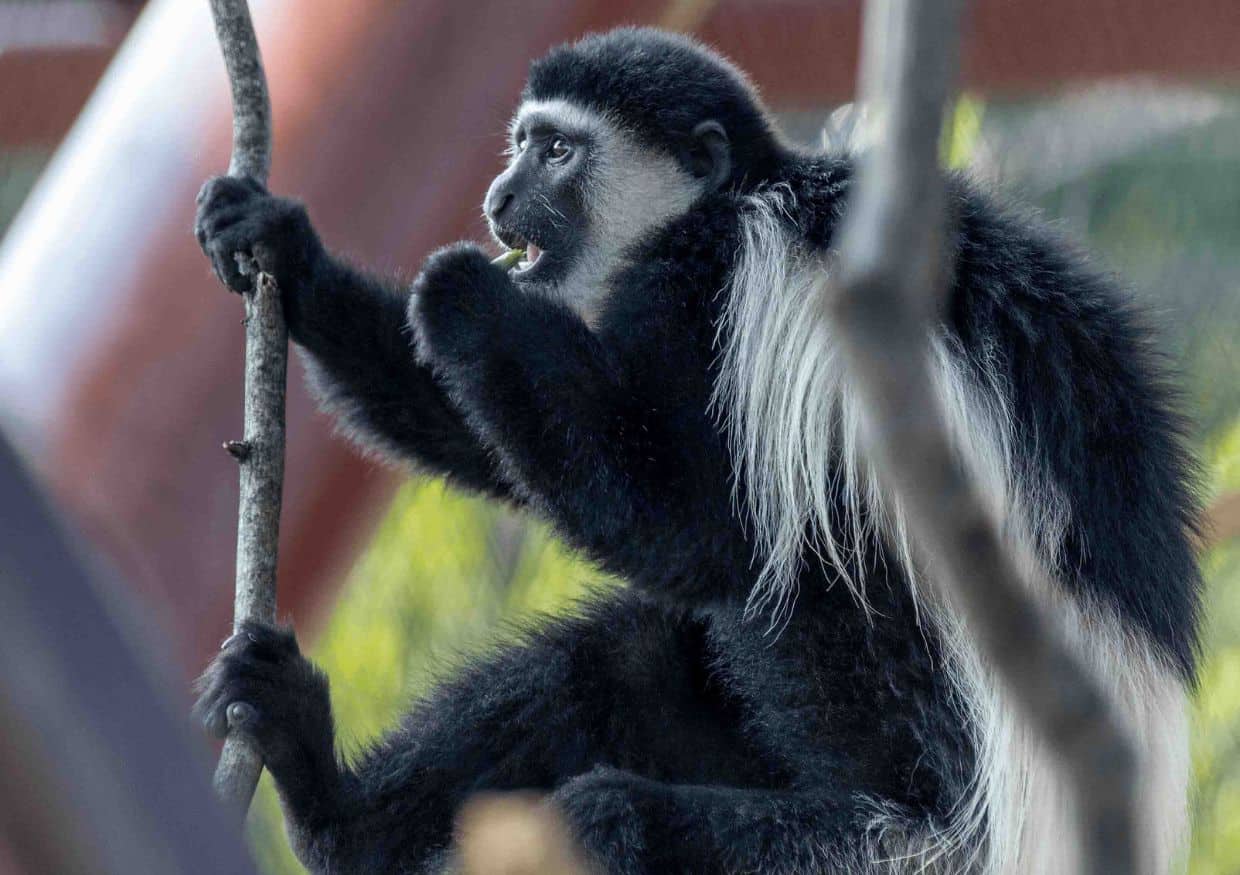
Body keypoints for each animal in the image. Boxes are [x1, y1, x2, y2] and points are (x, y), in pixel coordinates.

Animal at [193, 27, 1200, 872]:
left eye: (557, 152)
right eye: (522, 143)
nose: (498, 197)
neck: (740, 192)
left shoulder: (714, 283)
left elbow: (689, 523)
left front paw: (462, 295)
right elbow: (498, 441)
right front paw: (286, 249)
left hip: (880, 846)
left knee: (641, 796)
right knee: (617, 663)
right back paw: (329, 804)